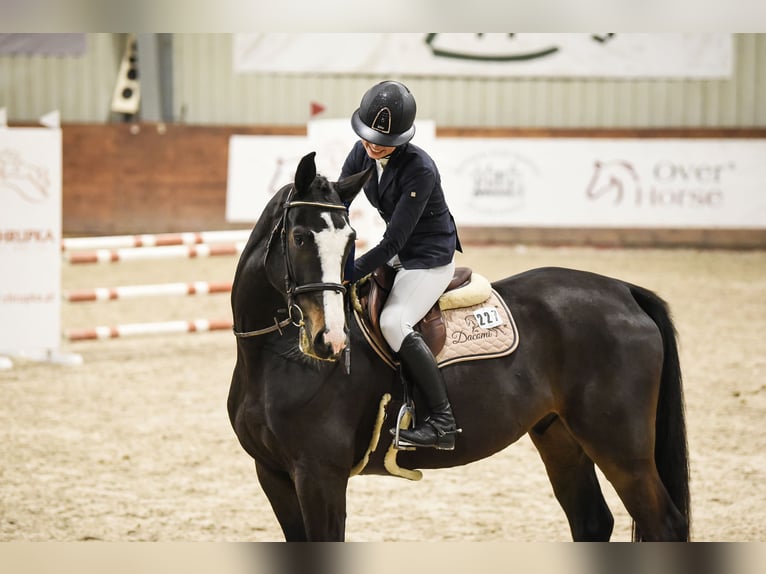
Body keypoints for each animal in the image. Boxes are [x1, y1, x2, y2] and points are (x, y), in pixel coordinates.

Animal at [226, 152, 688, 544]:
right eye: (300, 237)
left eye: (350, 239)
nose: (331, 340)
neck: (272, 356)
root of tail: (624, 291)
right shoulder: (272, 474)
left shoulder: (320, 474)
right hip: (559, 435)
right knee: (591, 521)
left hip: (621, 449)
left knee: (663, 523)